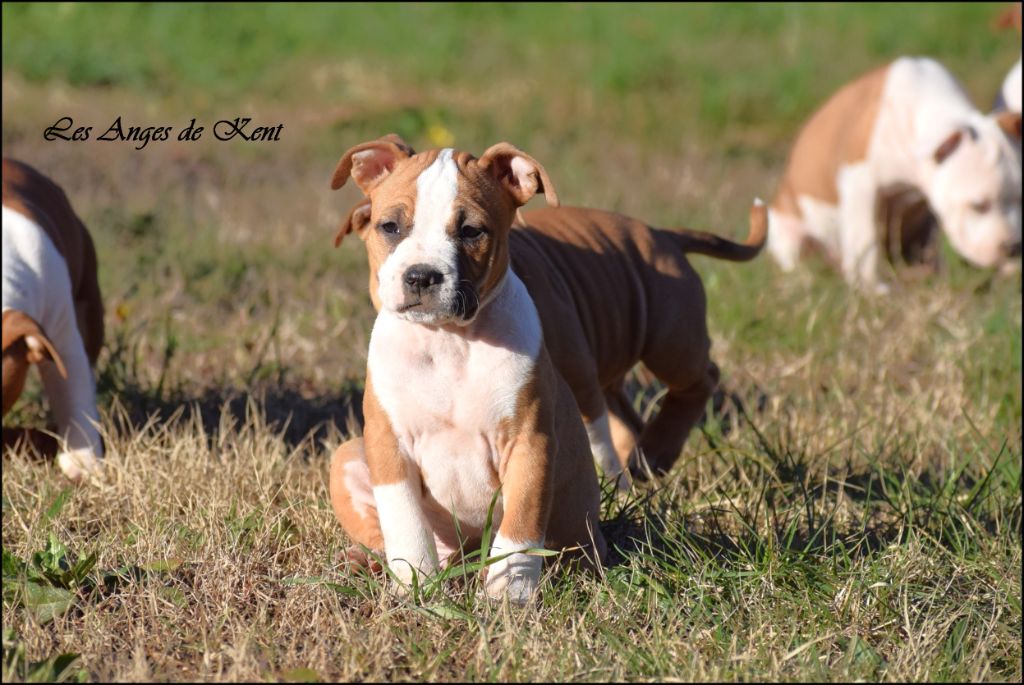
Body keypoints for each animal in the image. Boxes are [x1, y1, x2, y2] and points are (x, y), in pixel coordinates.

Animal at [331, 135, 765, 481]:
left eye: (471, 231)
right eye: (390, 227)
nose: (421, 276)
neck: (454, 336)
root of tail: (664, 236)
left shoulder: (577, 378)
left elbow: (593, 444)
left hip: (669, 337)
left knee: (701, 378)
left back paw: (657, 451)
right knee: (628, 413)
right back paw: (644, 462)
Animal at [770, 54, 1019, 288]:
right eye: (979, 205)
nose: (1014, 247)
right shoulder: (860, 181)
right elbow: (865, 238)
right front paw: (869, 288)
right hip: (786, 226)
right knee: (797, 260)